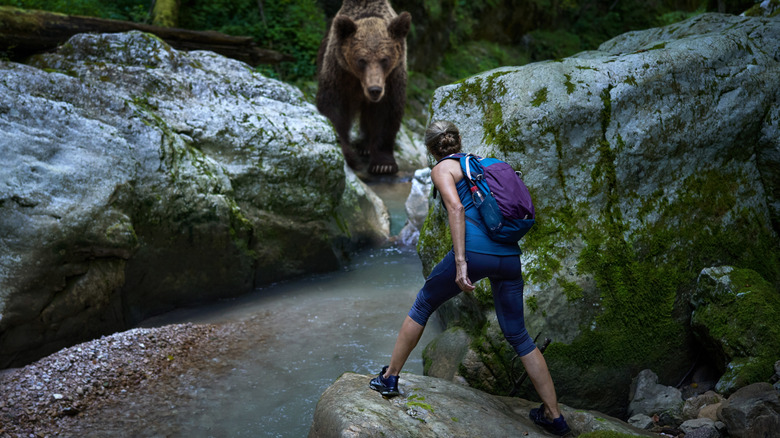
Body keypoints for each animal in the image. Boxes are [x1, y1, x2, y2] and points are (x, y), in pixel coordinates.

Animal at [316, 0, 411, 175]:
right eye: (361, 60)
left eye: (384, 59)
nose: (374, 90)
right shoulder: (340, 73)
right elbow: (334, 108)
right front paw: (348, 154)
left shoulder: (392, 78)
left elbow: (386, 112)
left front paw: (383, 165)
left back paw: (365, 147)